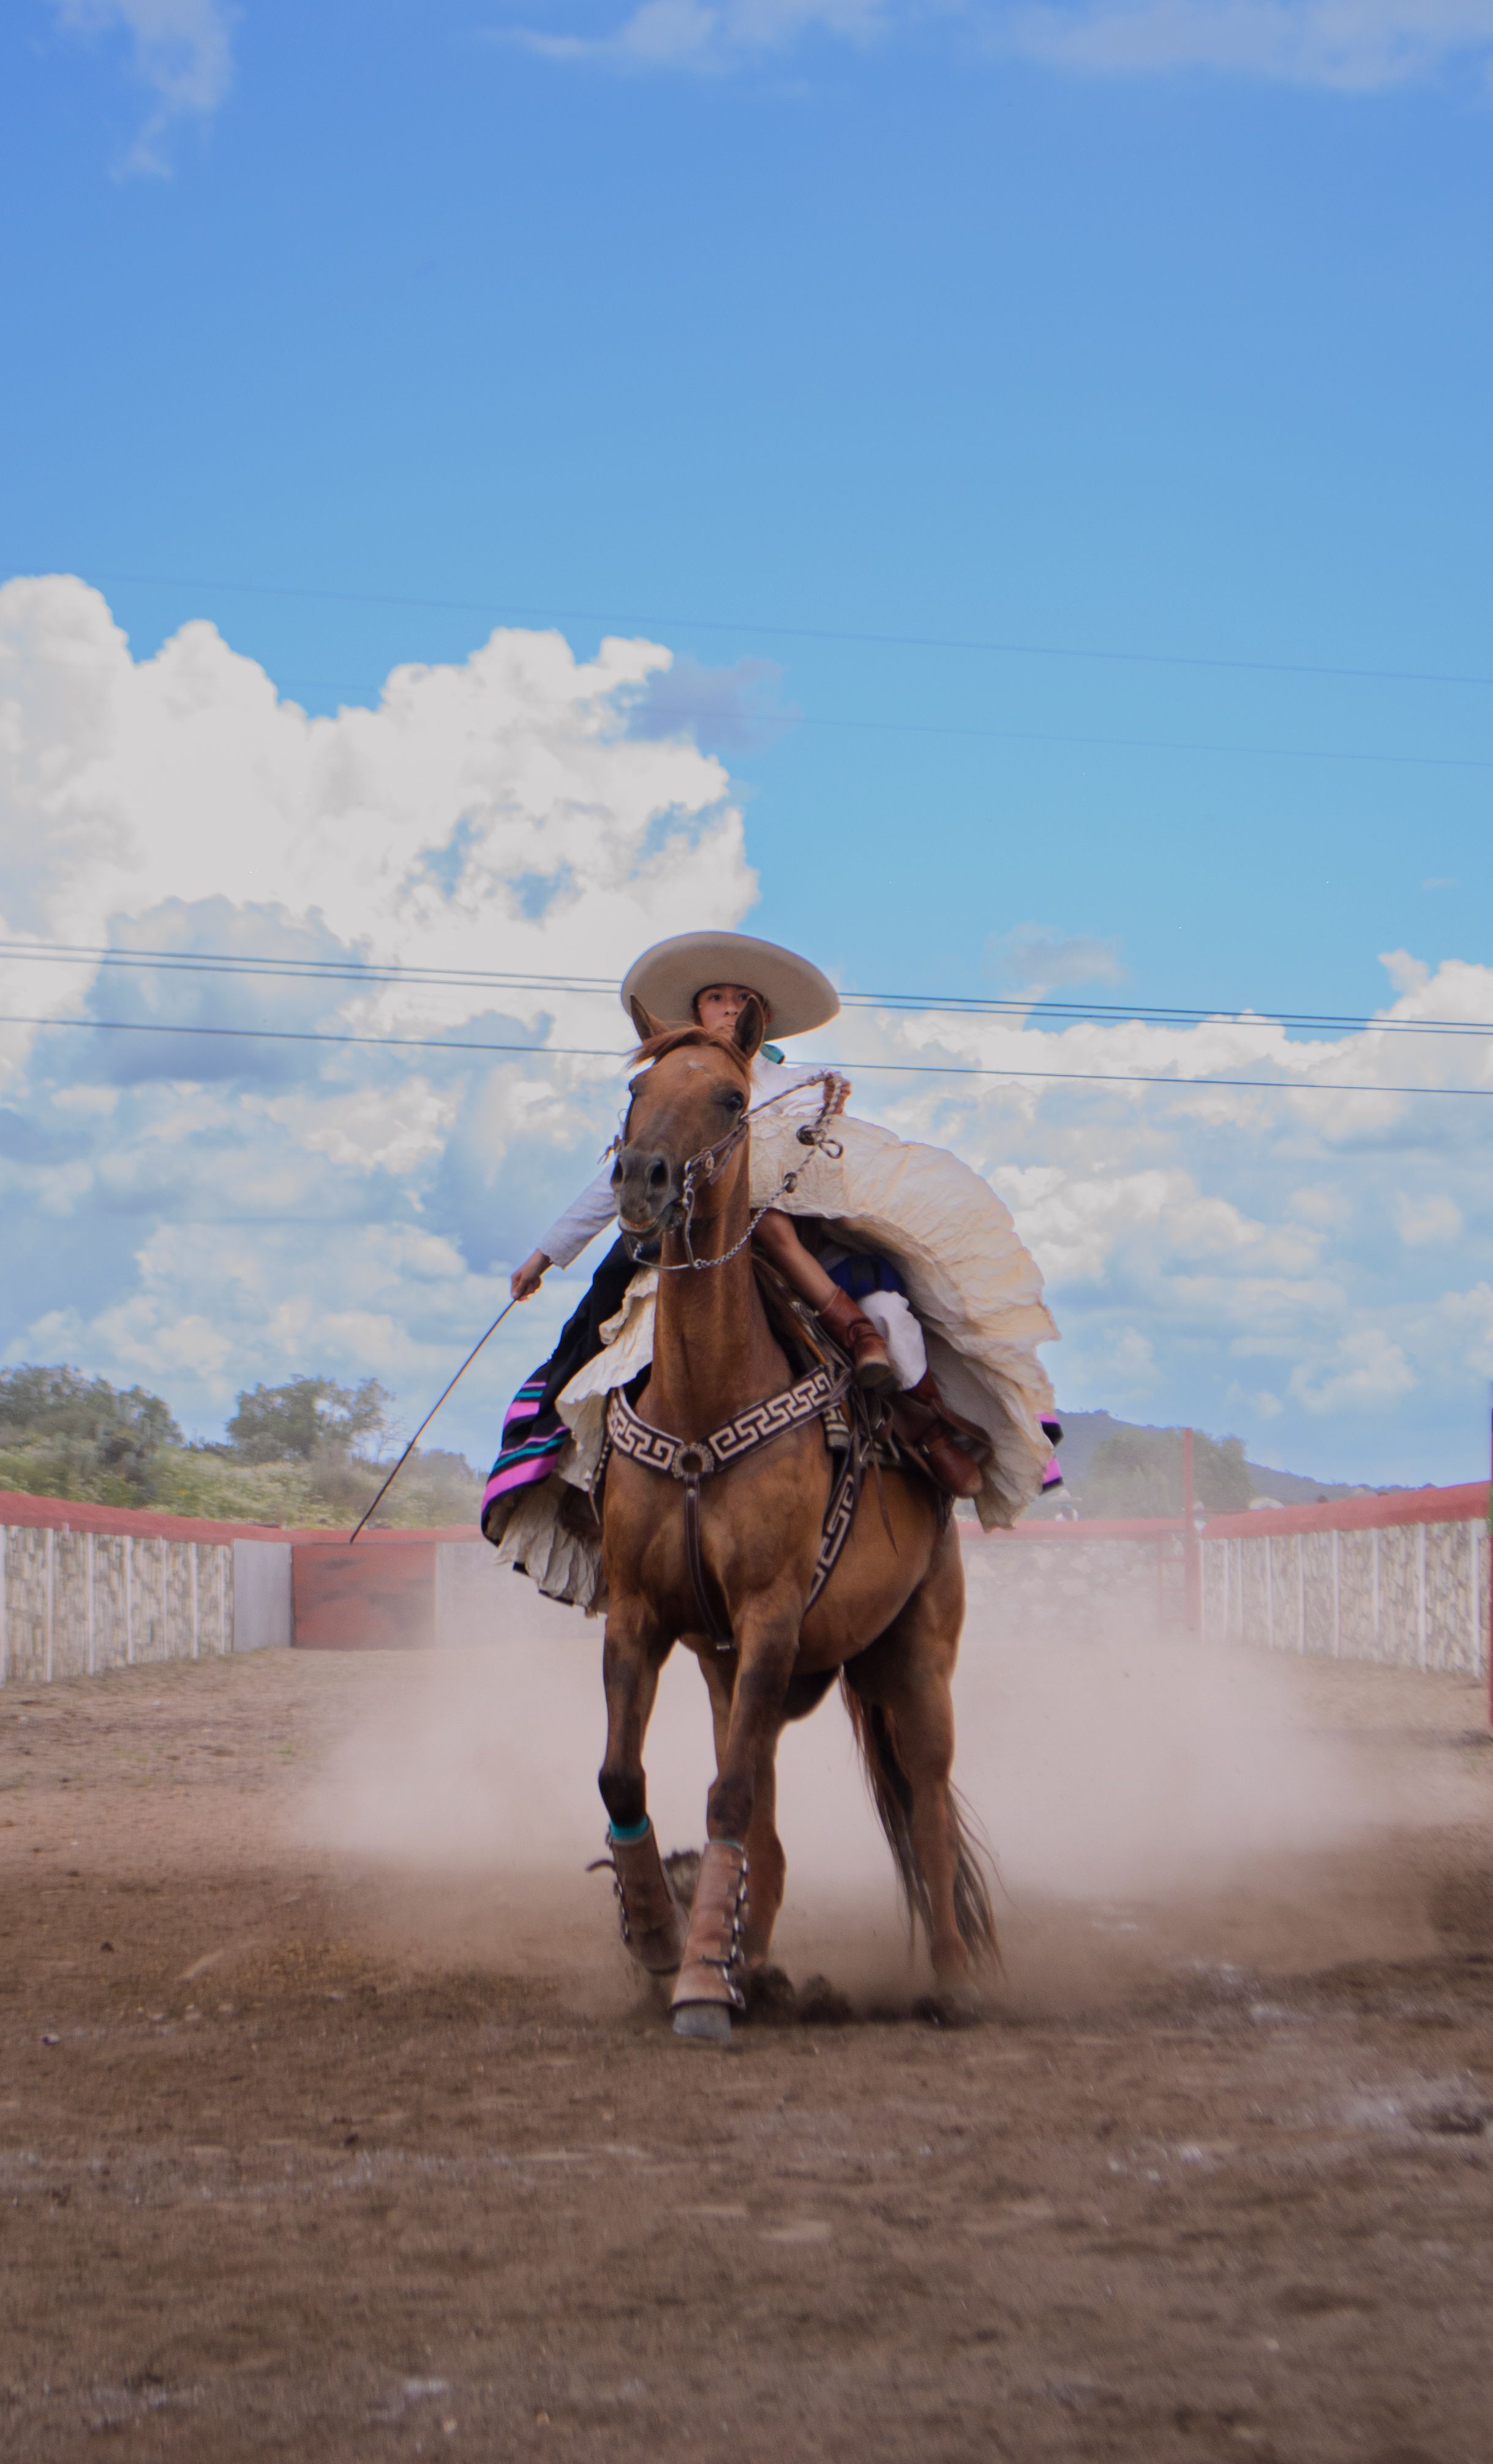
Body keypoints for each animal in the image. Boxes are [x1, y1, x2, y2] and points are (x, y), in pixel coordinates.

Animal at [594, 995, 997, 2043]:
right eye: (635, 1086)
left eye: (732, 1097)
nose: (643, 1179)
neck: (705, 1406)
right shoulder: (641, 1616)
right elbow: (629, 1778)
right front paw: (665, 1942)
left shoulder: (773, 1613)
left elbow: (728, 1797)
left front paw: (699, 1982)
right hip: (734, 1675)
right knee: (767, 1826)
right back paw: (756, 1966)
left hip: (912, 1657)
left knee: (926, 1808)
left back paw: (950, 1980)